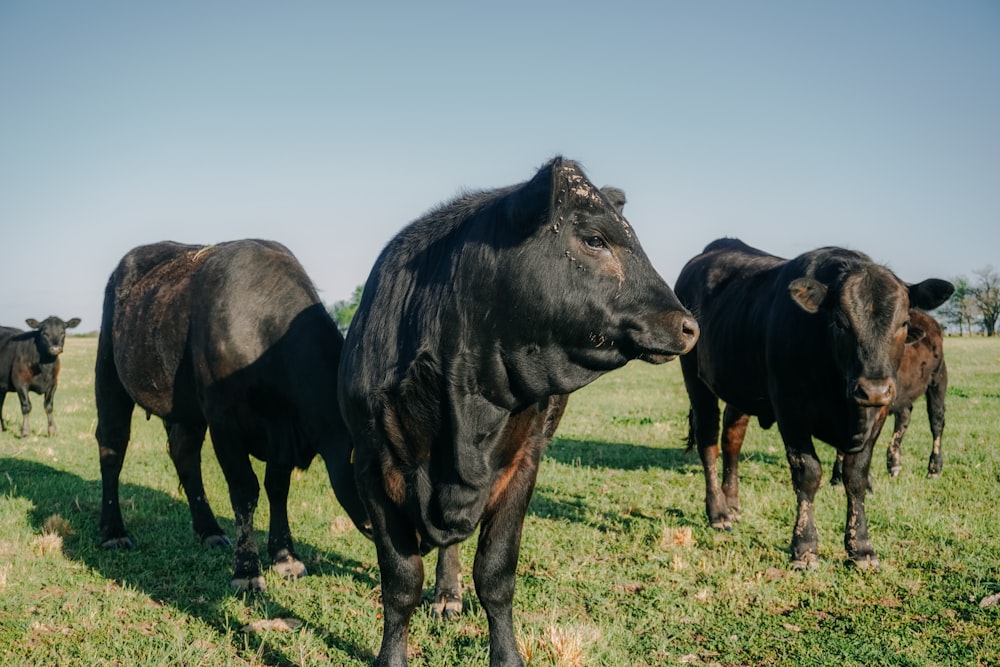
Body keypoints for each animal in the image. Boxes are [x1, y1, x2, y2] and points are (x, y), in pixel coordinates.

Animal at [93, 239, 368, 588]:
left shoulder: (281, 434)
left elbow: (277, 489)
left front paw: (285, 556)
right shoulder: (225, 422)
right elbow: (244, 490)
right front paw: (247, 571)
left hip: (187, 410)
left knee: (184, 456)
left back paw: (209, 529)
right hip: (109, 375)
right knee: (112, 450)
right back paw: (113, 532)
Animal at [340, 158, 700, 667]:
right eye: (595, 239)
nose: (688, 326)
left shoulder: (524, 463)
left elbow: (495, 575)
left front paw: (506, 655)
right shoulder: (370, 462)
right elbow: (400, 581)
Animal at [832, 308, 948, 486]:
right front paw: (837, 476)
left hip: (938, 379)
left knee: (937, 420)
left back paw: (934, 468)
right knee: (904, 417)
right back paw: (894, 463)